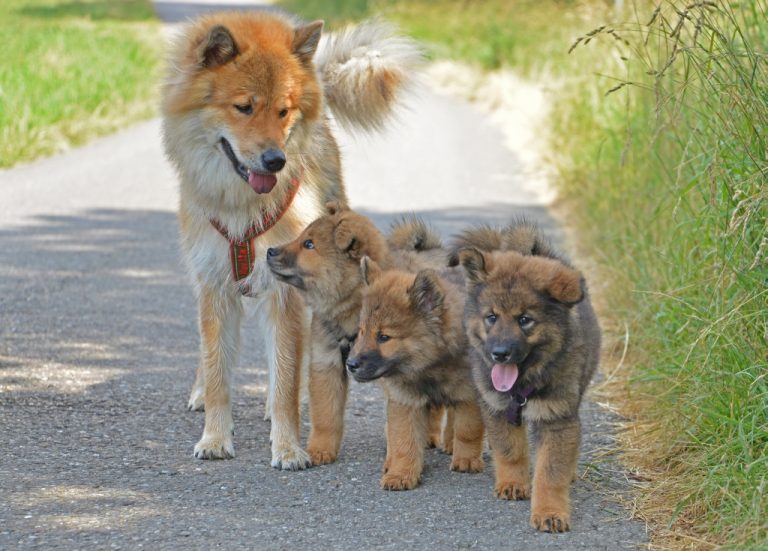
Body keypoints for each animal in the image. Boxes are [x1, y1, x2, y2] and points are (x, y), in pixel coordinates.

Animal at [161, 11, 420, 468]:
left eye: (283, 111)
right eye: (243, 107)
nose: (275, 160)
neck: (242, 207)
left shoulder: (283, 292)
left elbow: (284, 374)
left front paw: (287, 445)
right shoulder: (214, 285)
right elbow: (217, 370)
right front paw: (214, 436)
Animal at [265, 203, 447, 464]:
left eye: (309, 244)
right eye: (302, 238)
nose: (269, 250)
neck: (354, 304)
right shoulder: (327, 361)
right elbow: (326, 414)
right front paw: (320, 450)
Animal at [346, 256, 485, 490]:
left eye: (384, 337)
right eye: (362, 332)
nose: (350, 364)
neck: (429, 368)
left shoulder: (469, 395)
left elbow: (467, 430)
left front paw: (466, 459)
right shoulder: (405, 399)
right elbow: (404, 439)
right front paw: (401, 473)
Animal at [451, 223, 601, 532]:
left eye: (524, 320)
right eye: (491, 317)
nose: (499, 354)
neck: (522, 387)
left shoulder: (557, 418)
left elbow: (550, 472)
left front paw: (550, 511)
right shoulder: (497, 408)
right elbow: (510, 450)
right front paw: (512, 483)